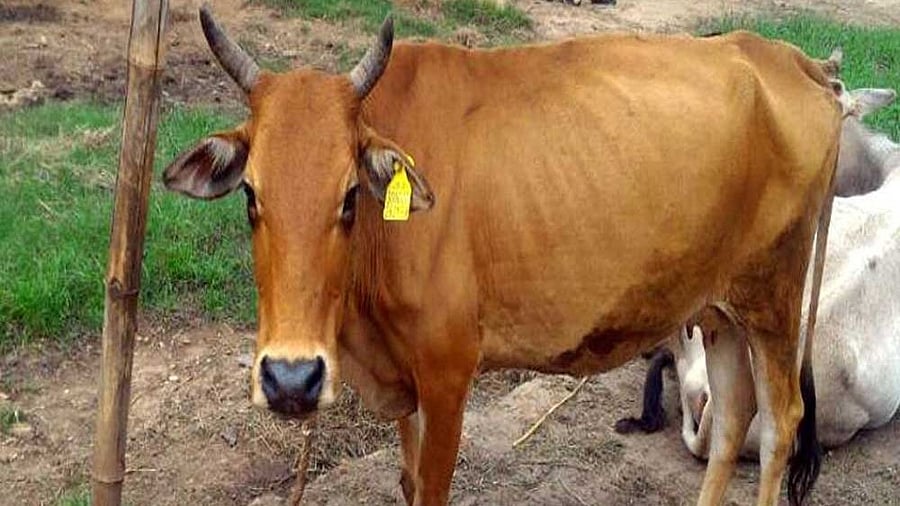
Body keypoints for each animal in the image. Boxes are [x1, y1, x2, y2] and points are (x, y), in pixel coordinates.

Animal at [162, 6, 842, 505]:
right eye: (250, 194)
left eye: (350, 195)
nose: (290, 380)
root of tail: (790, 59)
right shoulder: (405, 380)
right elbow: (406, 480)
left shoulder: (447, 374)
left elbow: (431, 489)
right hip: (718, 309)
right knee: (730, 419)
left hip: (775, 299)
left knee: (780, 422)